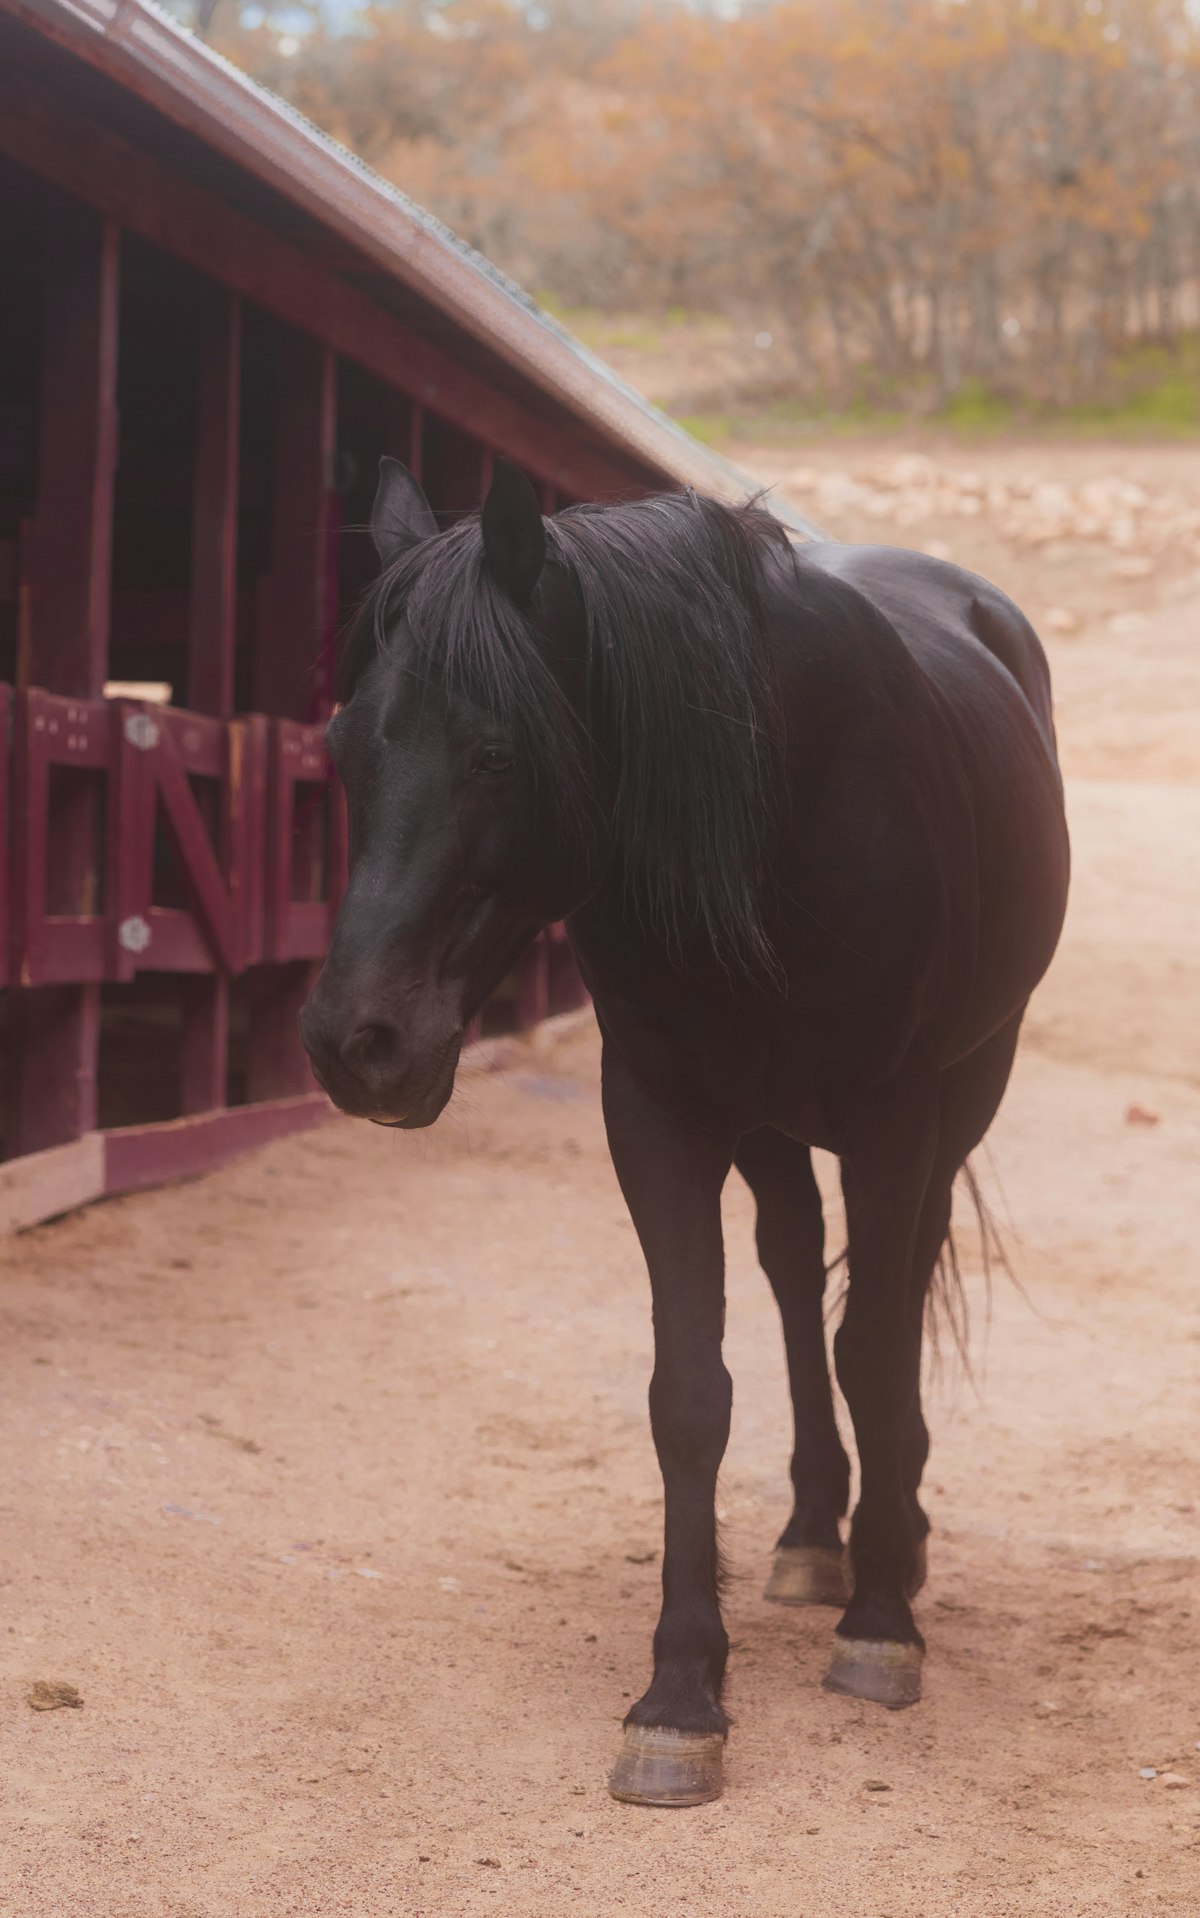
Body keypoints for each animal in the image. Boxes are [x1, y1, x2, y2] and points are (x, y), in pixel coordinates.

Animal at [299, 456, 1070, 1808]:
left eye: (496, 752)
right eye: (344, 748)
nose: (358, 1043)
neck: (786, 806)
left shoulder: (892, 1114)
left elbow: (877, 1348)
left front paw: (881, 1628)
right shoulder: (660, 1111)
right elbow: (689, 1389)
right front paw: (680, 1694)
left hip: (963, 1091)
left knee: (894, 1287)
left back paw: (895, 1543)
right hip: (770, 1124)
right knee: (795, 1272)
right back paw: (815, 1534)